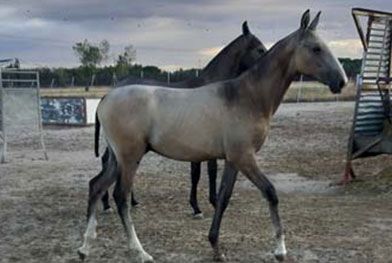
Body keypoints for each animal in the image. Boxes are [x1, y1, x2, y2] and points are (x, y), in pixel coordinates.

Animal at [77, 9, 346, 262]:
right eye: (316, 48)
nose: (341, 81)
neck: (247, 97)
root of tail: (107, 97)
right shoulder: (245, 157)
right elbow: (270, 192)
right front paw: (280, 250)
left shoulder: (233, 160)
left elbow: (224, 197)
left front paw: (216, 246)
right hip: (130, 157)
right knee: (120, 197)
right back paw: (140, 252)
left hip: (117, 159)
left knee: (96, 186)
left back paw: (85, 247)